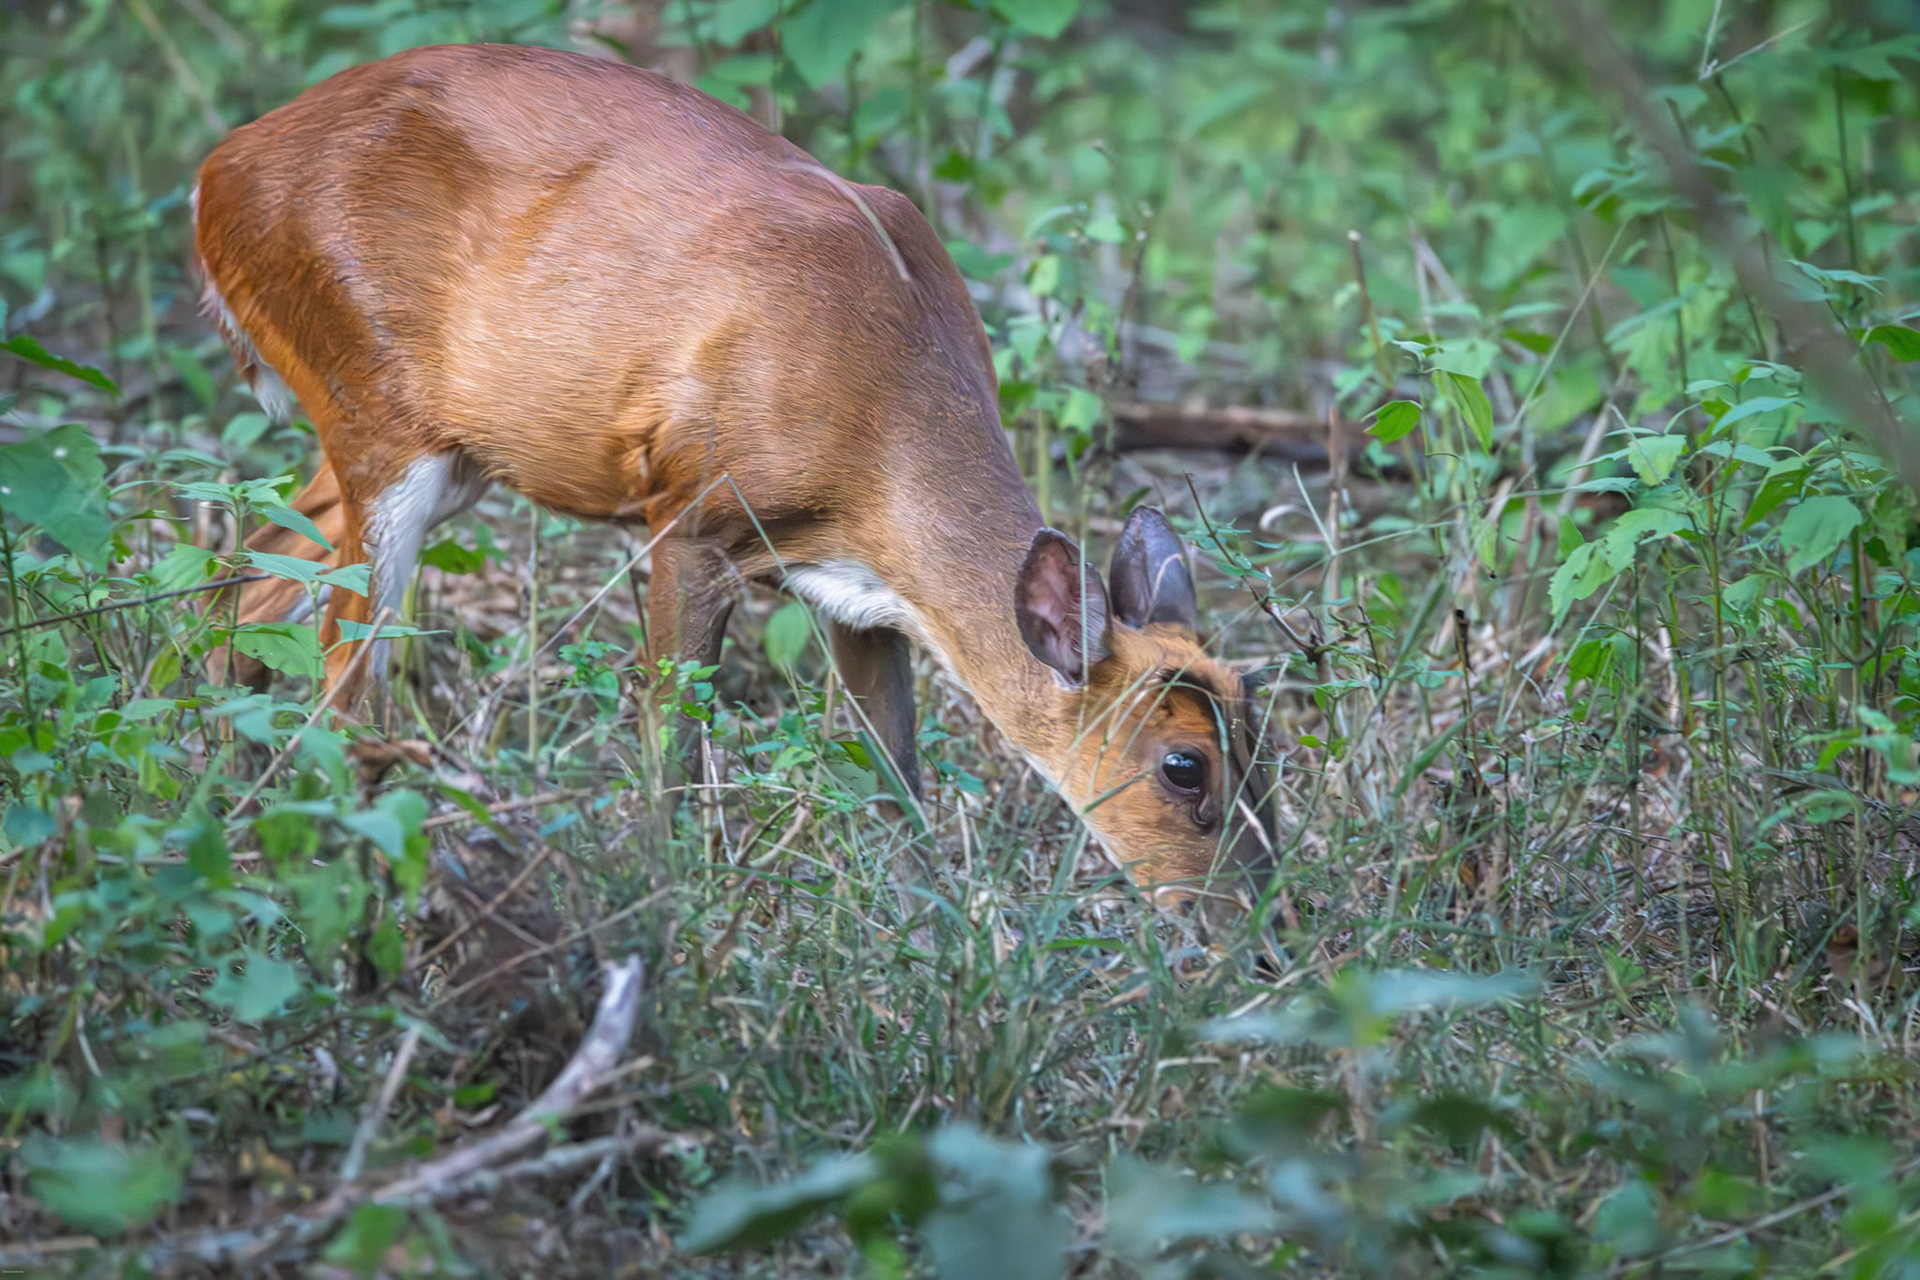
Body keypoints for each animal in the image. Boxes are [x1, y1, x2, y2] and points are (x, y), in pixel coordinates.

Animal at [192, 43, 1277, 911]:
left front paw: (939, 927)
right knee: (345, 680)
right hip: (372, 401)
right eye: (1184, 765)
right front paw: (669, 901)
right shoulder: (692, 509)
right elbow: (671, 735)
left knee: (244, 589)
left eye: (1264, 740)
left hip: (441, 448)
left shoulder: (857, 588)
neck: (881, 410)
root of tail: (215, 175)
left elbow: (895, 771)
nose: (1257, 937)